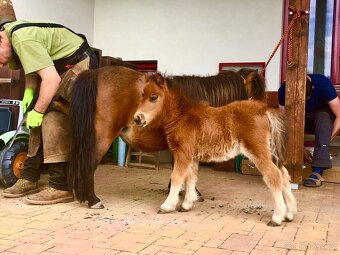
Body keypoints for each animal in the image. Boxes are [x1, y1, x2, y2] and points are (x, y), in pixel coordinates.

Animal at [133, 72, 298, 226]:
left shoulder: (182, 153)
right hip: (271, 152)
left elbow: (176, 177)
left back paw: (276, 218)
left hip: (258, 151)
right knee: (284, 175)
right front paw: (186, 205)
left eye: (154, 97)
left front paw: (167, 206)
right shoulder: (192, 157)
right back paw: (289, 213)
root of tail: (264, 110)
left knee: (275, 176)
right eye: (142, 96)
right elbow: (190, 178)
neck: (183, 117)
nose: (137, 118)